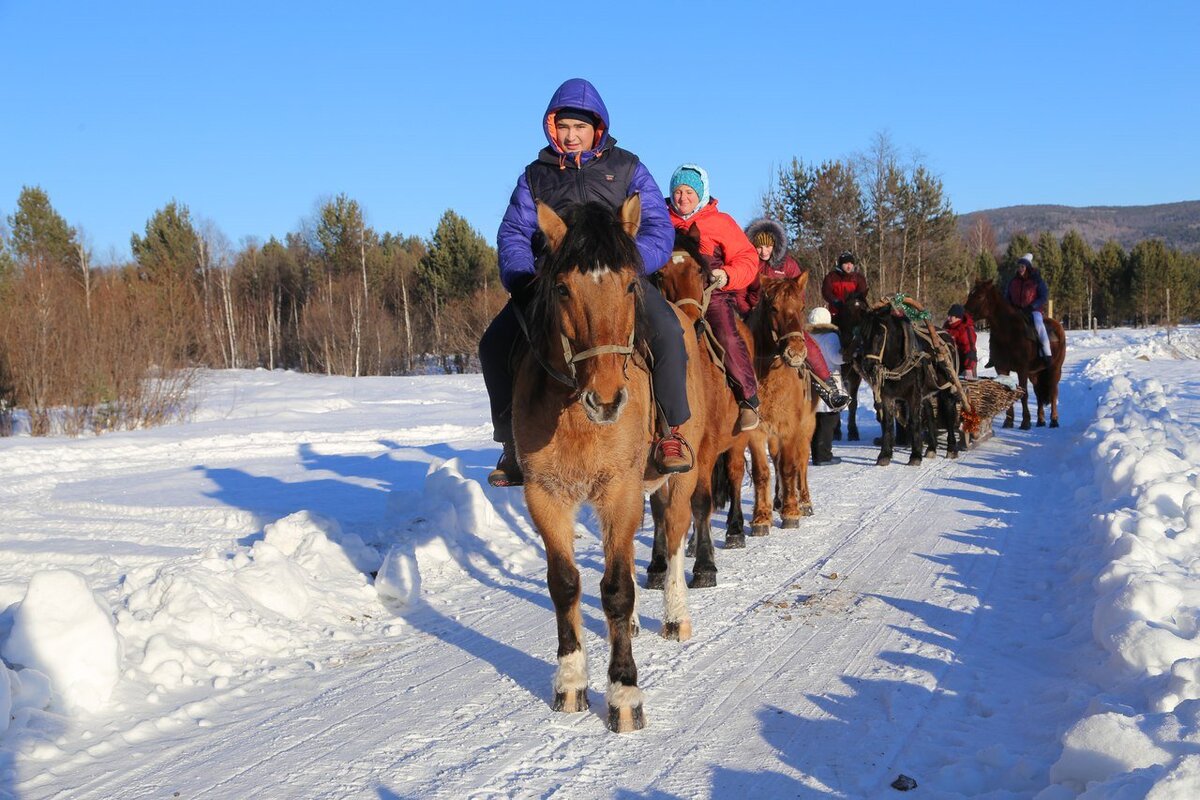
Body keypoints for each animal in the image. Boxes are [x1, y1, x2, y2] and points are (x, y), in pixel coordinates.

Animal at [508, 195, 700, 734]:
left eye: (631, 284)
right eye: (562, 288)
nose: (608, 398)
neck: (575, 418)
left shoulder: (620, 488)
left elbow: (616, 589)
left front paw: (624, 693)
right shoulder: (545, 495)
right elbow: (564, 584)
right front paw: (571, 683)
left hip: (679, 480)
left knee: (674, 538)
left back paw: (675, 614)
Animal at [648, 225, 748, 587]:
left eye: (701, 273)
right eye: (659, 274)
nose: (691, 322)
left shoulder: (704, 448)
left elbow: (702, 502)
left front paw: (706, 565)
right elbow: (661, 509)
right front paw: (658, 565)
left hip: (737, 441)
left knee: (734, 477)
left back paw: (734, 530)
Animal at [744, 275, 820, 532]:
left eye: (802, 307)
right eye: (773, 308)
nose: (795, 352)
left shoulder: (790, 429)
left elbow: (789, 467)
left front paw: (791, 512)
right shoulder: (756, 432)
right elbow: (761, 472)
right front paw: (761, 517)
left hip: (806, 427)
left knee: (802, 462)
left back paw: (804, 502)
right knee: (776, 461)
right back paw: (777, 500)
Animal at [964, 281, 1070, 431]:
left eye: (979, 296)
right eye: (970, 294)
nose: (964, 315)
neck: (1008, 333)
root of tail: (1058, 327)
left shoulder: (1022, 370)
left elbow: (1024, 394)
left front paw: (1025, 422)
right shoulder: (1002, 369)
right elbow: (1008, 392)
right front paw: (1008, 421)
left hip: (1054, 369)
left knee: (1053, 391)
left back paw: (1054, 420)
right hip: (1035, 373)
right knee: (1038, 394)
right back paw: (1040, 420)